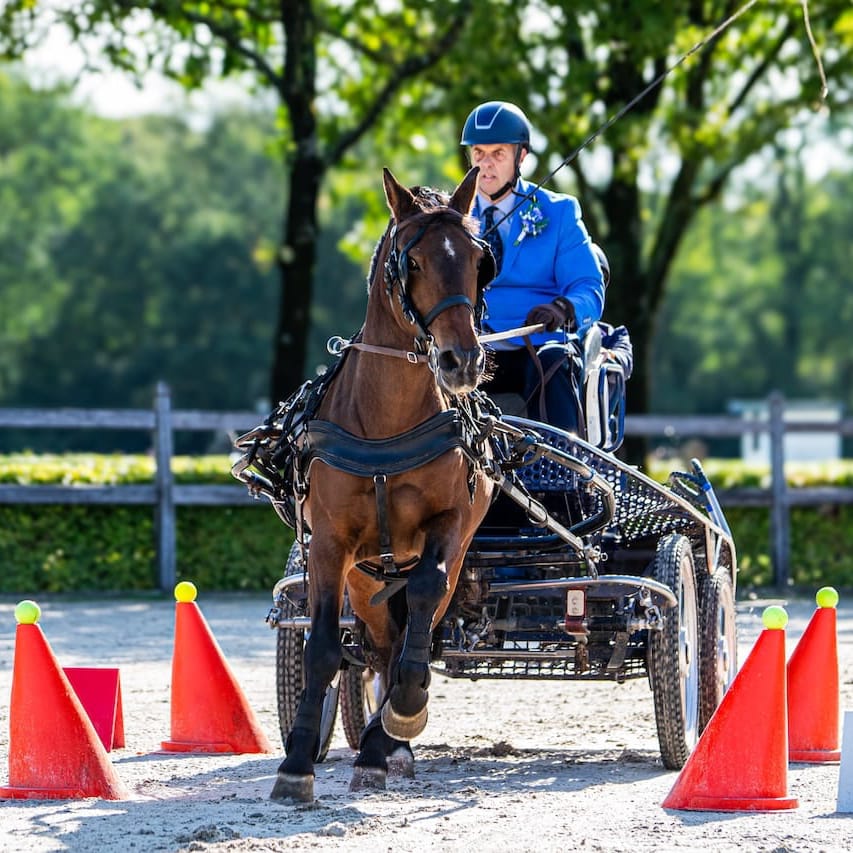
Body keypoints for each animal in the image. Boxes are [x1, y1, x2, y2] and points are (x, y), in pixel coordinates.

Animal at [270, 166, 497, 802]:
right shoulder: (328, 544)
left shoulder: (449, 528)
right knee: (378, 642)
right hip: (366, 577)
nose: (463, 362)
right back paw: (376, 744)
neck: (386, 421)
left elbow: (422, 602)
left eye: (479, 260)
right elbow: (322, 645)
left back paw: (387, 737)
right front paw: (297, 761)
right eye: (412, 261)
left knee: (409, 634)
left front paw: (406, 710)